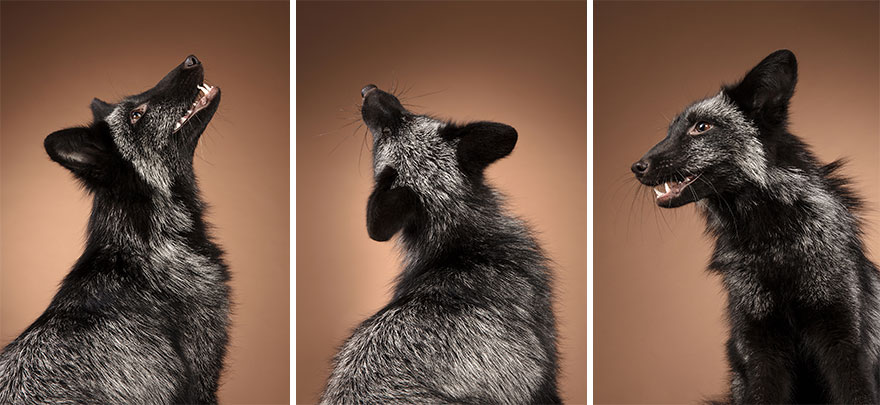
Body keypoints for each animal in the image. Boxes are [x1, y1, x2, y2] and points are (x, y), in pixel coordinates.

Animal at [632, 49, 880, 404]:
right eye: (669, 131)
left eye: (701, 127)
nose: (637, 167)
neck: (772, 244)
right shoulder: (758, 345)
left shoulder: (844, 338)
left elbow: (855, 391)